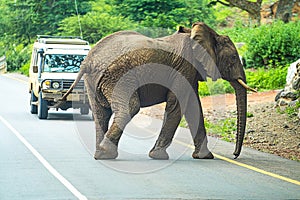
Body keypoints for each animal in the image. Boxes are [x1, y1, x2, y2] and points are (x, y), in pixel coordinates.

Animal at [60, 22, 255, 159]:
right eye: (233, 58)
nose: (235, 155)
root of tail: (88, 60)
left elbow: (194, 106)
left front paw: (205, 157)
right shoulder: (184, 68)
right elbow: (178, 106)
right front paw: (158, 156)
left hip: (94, 80)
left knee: (101, 113)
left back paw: (101, 154)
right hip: (119, 77)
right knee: (129, 108)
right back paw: (105, 154)